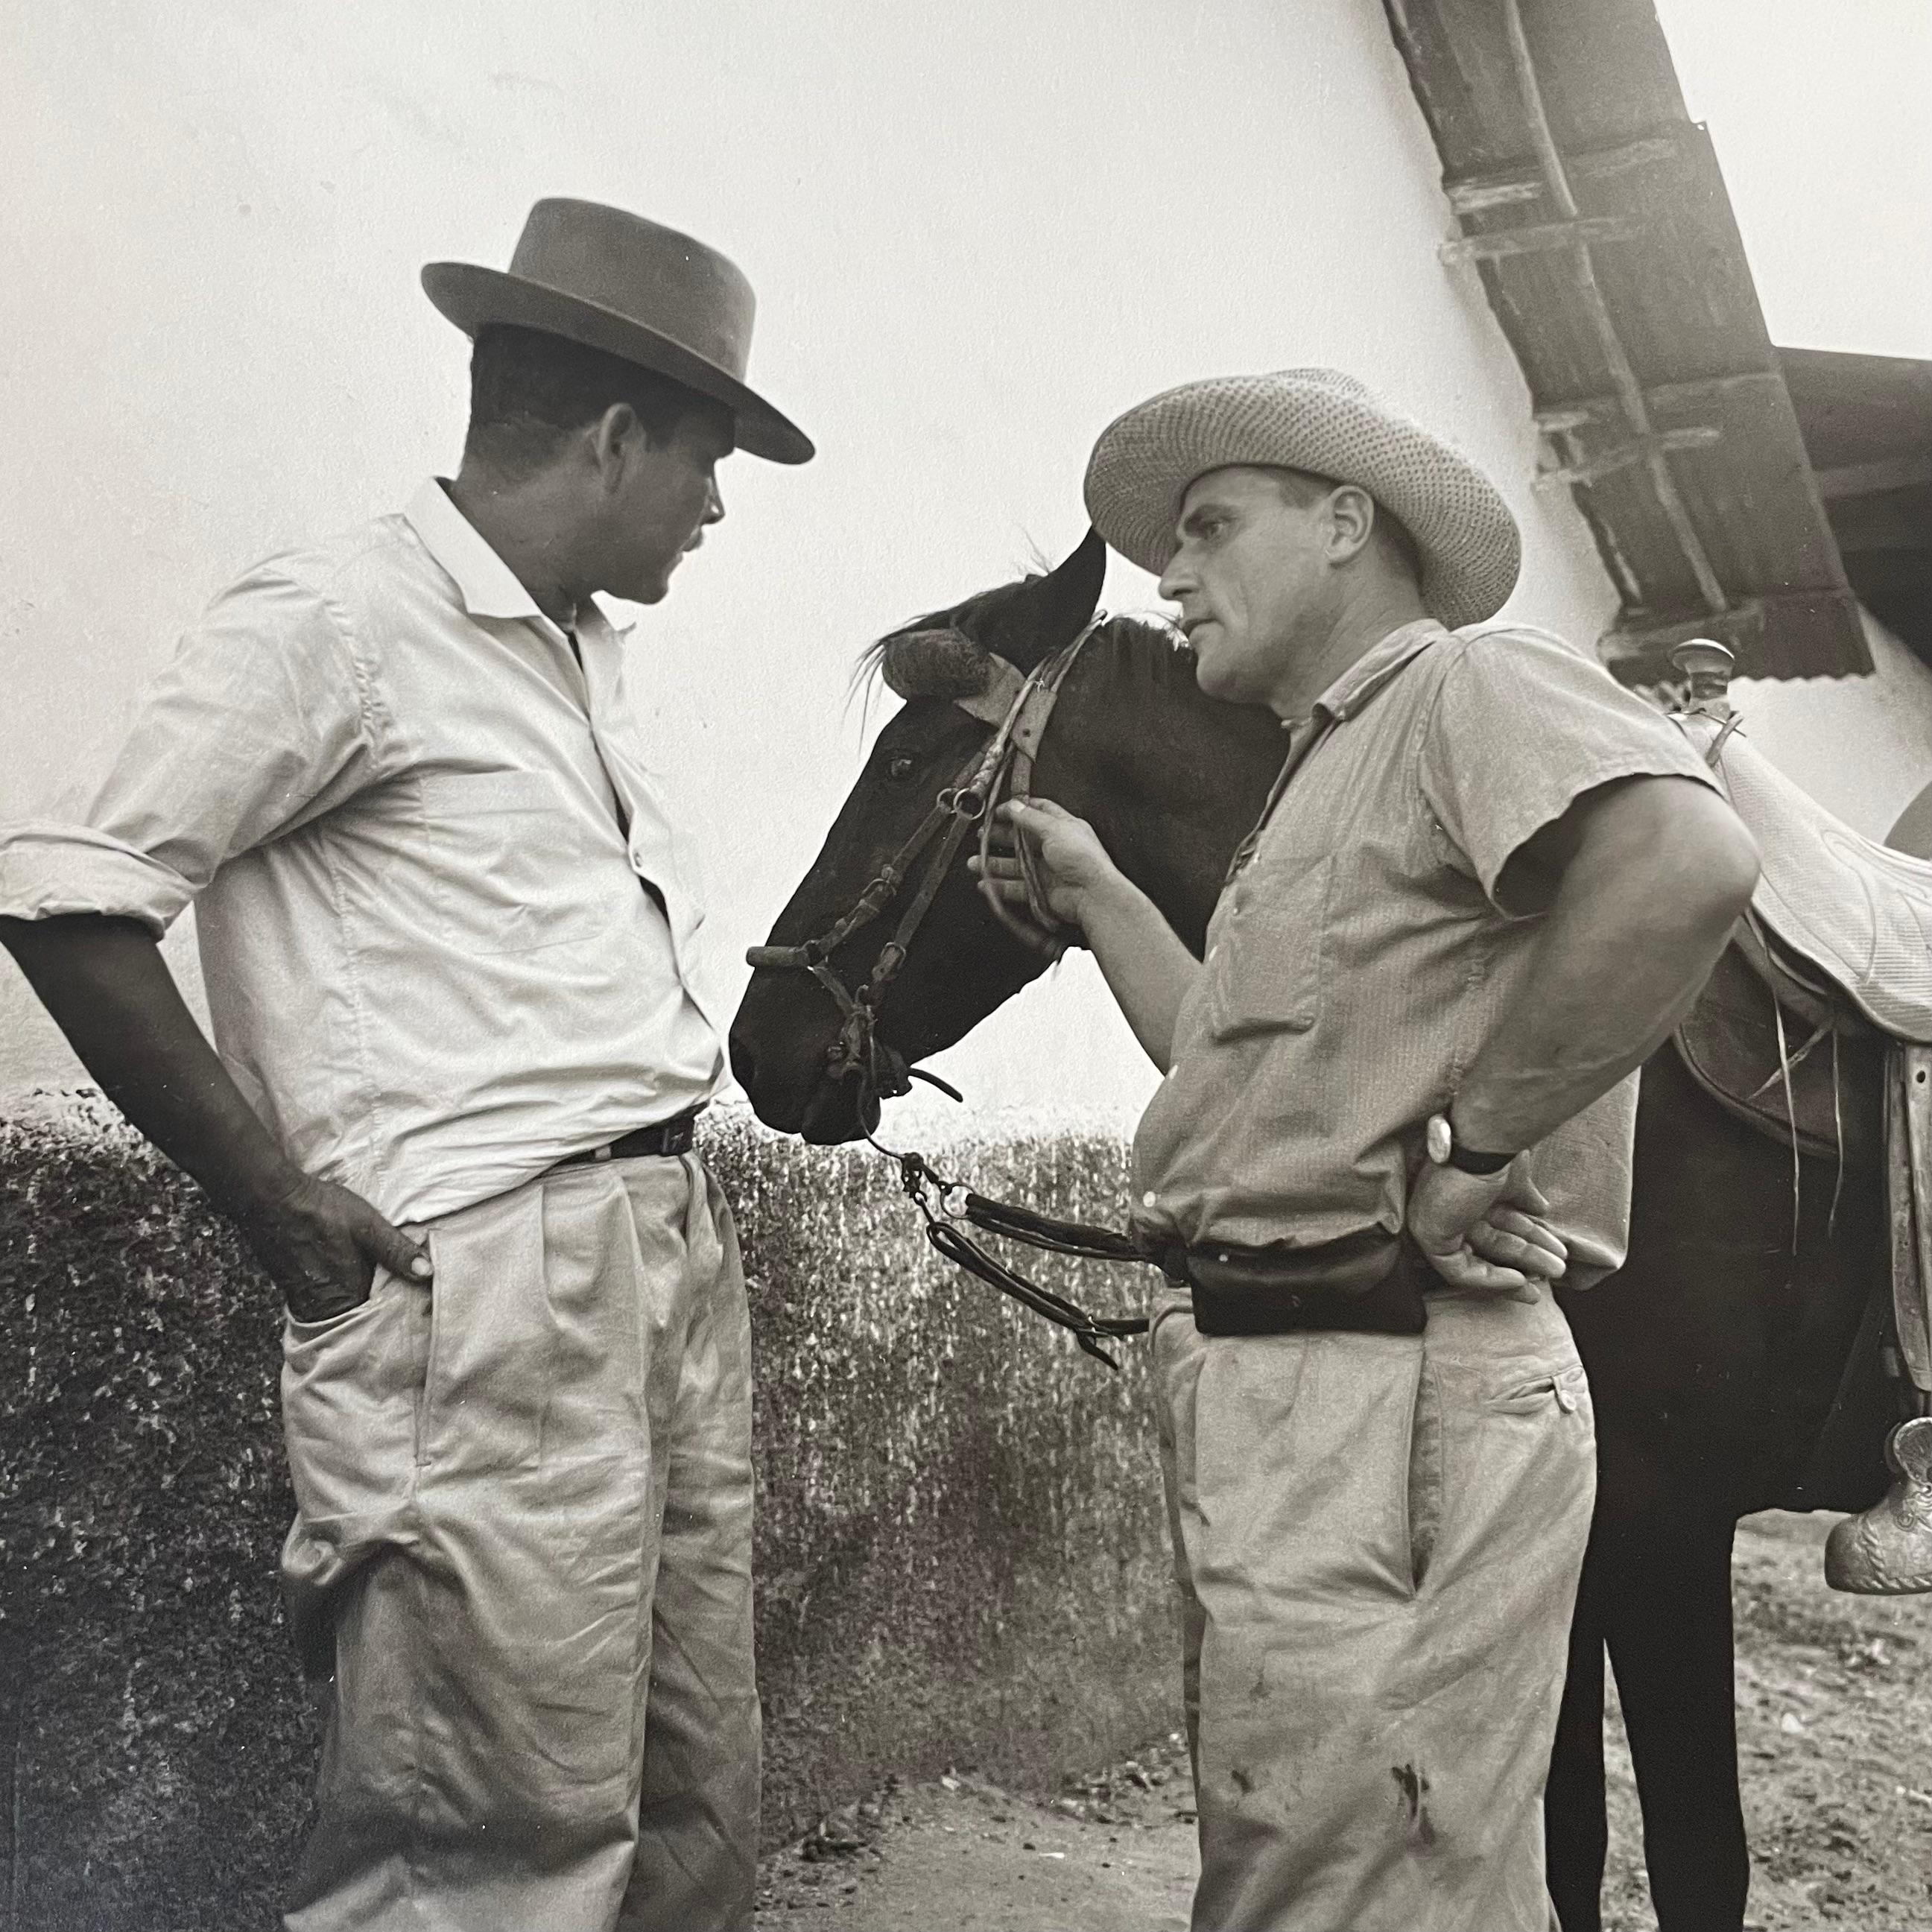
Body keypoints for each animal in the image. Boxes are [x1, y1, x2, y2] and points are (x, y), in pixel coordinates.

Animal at [730, 536, 1893, 1924]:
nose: (758, 1044)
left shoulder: (1666, 1516)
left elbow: (1695, 1855)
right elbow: (1556, 1830)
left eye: (905, 764)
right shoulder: (1575, 1520)